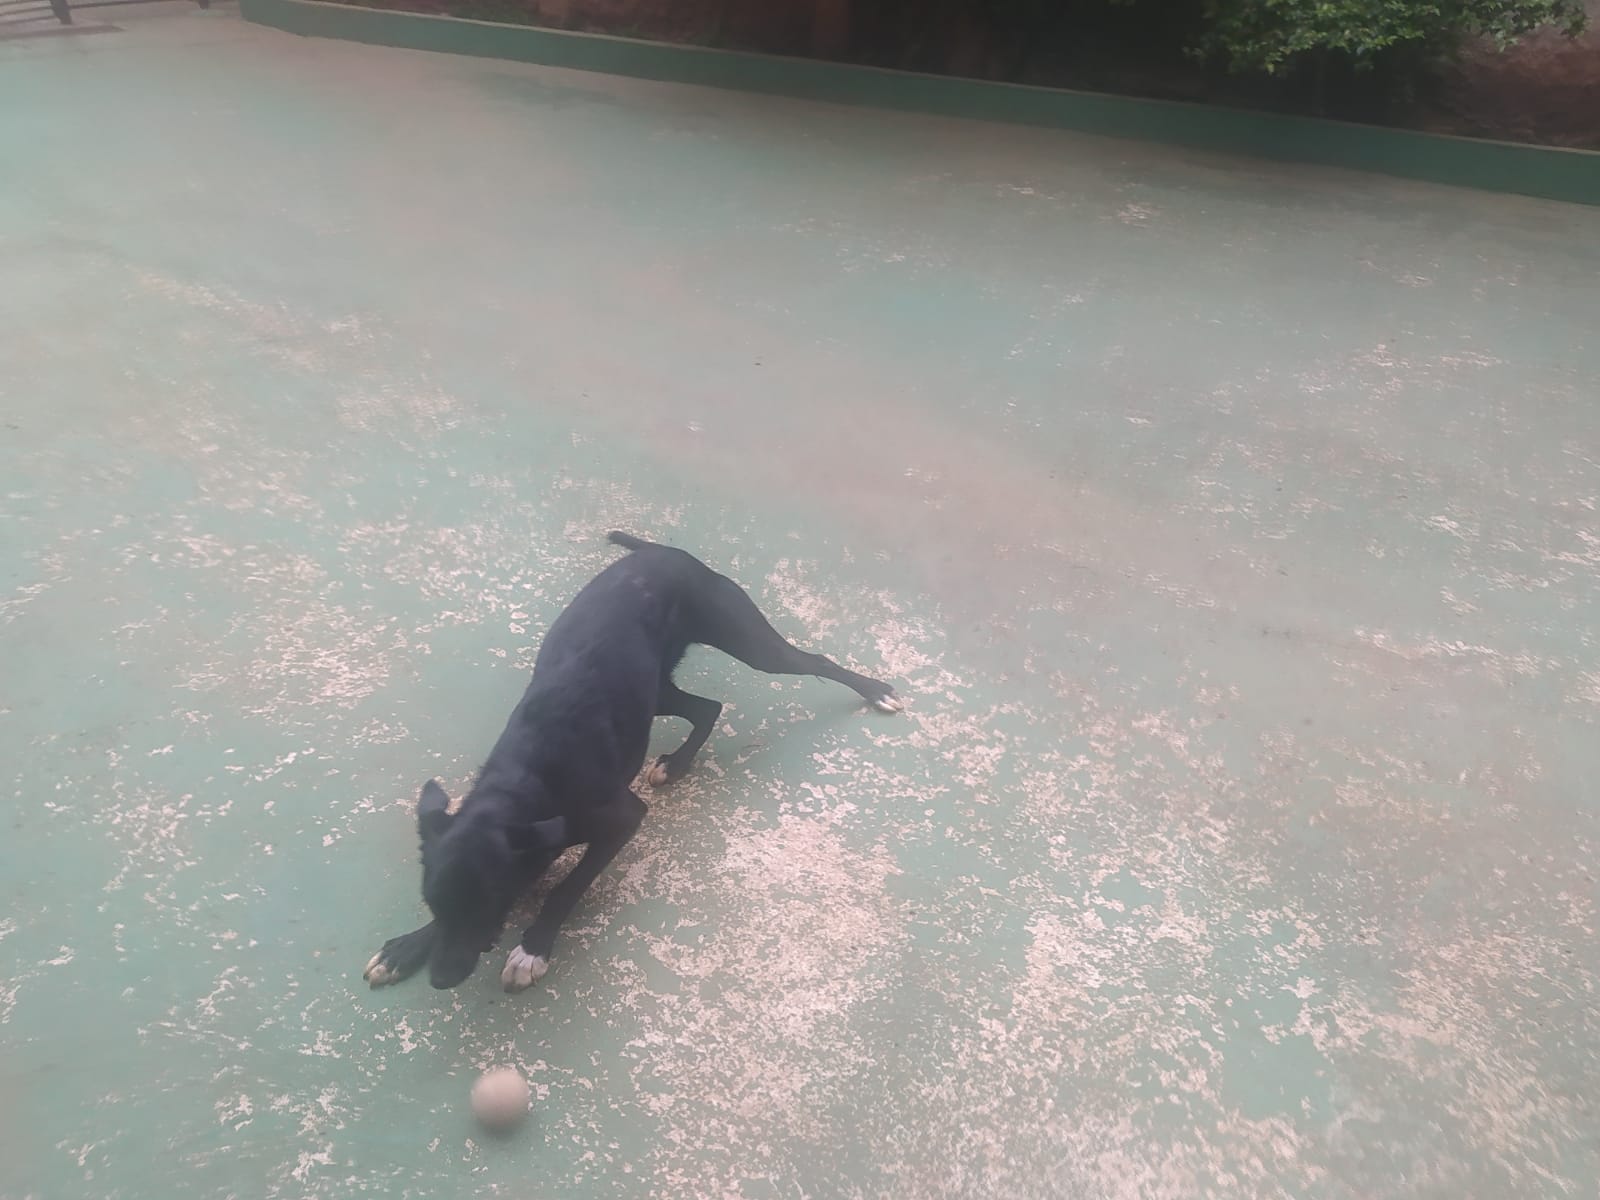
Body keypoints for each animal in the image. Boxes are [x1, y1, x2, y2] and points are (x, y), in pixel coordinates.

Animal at [363, 532, 903, 992]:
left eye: (495, 903)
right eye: (433, 903)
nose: (441, 981)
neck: (519, 786)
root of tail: (663, 550)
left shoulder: (623, 819)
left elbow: (569, 887)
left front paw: (532, 949)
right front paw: (406, 947)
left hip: (749, 643)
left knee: (813, 663)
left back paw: (876, 691)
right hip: (655, 690)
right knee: (708, 708)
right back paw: (677, 764)